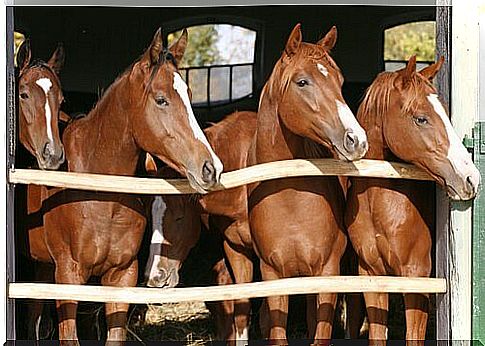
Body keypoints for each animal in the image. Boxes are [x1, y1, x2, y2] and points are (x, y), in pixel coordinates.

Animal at [25, 28, 222, 344]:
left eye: (190, 95)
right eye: (161, 99)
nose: (210, 167)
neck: (100, 193)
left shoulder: (122, 275)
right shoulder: (68, 275)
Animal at [248, 24, 364, 344]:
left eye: (339, 81)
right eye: (302, 82)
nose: (356, 139)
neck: (290, 198)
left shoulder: (328, 271)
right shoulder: (273, 275)